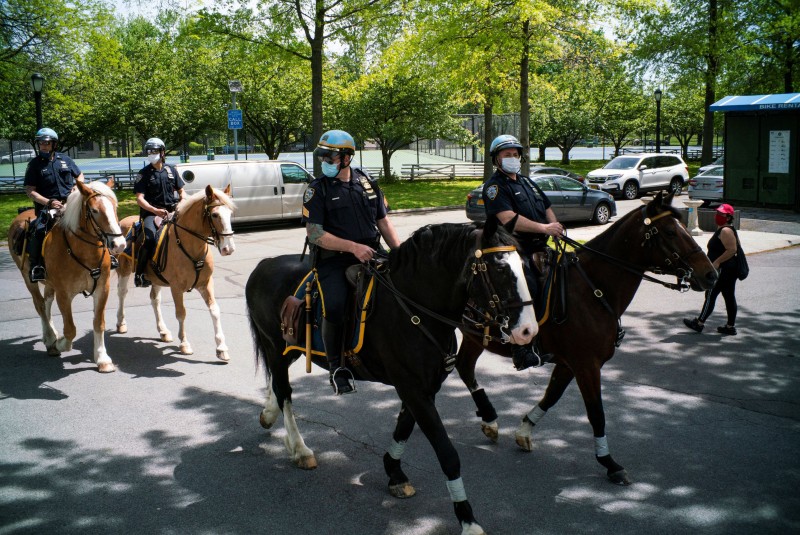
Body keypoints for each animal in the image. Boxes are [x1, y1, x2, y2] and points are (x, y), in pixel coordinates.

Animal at [6, 180, 125, 372]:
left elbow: (98, 323)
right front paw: (60, 343)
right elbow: (70, 329)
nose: (119, 244)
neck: (83, 251)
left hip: (49, 283)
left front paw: (102, 358)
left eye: (114, 206)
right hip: (27, 278)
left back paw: (51, 334)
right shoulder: (64, 294)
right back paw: (50, 338)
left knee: (46, 302)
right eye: (94, 210)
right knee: (40, 305)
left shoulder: (102, 289)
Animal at [114, 186, 236, 362]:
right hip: (124, 270)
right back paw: (121, 323)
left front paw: (221, 348)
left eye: (230, 213)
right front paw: (184, 343)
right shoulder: (176, 288)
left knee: (154, 300)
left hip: (156, 279)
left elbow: (215, 310)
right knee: (122, 293)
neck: (190, 245)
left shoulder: (206, 283)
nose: (229, 248)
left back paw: (163, 331)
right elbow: (181, 313)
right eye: (214, 215)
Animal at [245, 220, 536, 532]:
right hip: (275, 346)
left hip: (290, 350)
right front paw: (467, 519)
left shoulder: (424, 386)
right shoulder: (412, 387)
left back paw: (269, 416)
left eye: (524, 264)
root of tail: (263, 264)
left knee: (277, 385)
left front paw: (394, 473)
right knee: (285, 391)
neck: (415, 309)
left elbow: (404, 428)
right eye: (500, 268)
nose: (528, 331)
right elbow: (447, 453)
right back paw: (300, 449)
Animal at [456, 193, 720, 486]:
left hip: (474, 337)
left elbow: (551, 396)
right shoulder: (586, 364)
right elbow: (597, 413)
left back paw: (489, 420)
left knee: (464, 367)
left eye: (685, 226)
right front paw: (609, 462)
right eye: (671, 231)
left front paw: (524, 430)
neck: (593, 289)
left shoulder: (569, 363)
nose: (711, 274)